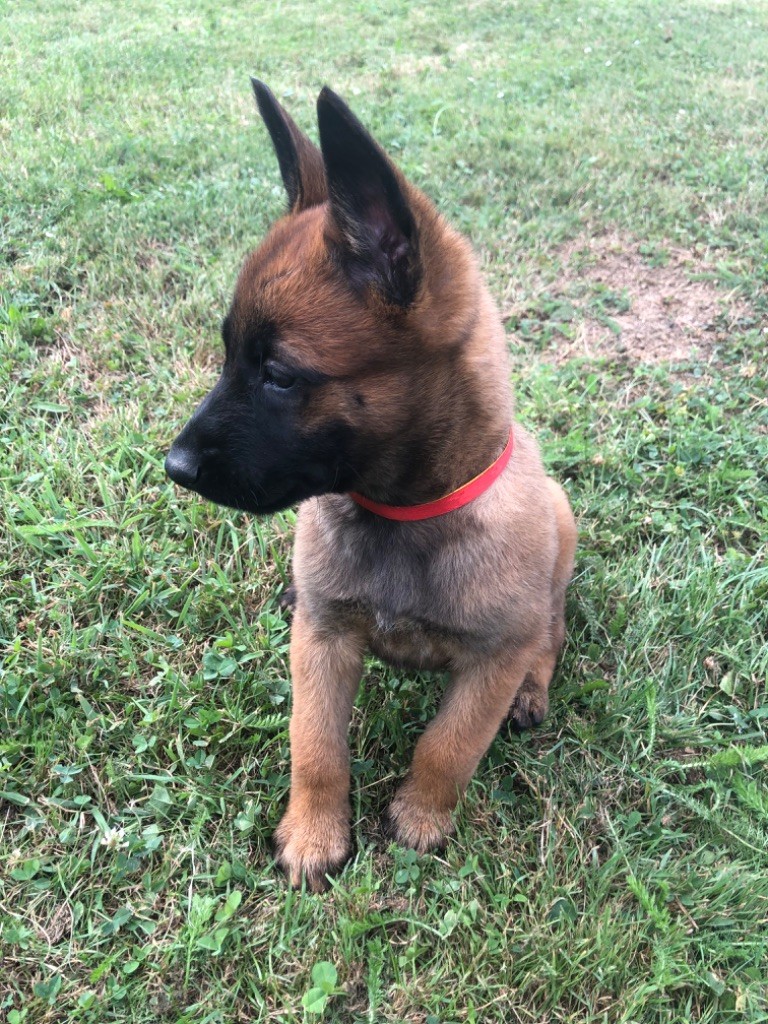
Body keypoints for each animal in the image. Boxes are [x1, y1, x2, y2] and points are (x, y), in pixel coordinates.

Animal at [167, 83, 577, 892]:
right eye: (227, 355)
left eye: (279, 375)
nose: (175, 466)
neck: (403, 514)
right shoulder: (322, 643)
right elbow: (316, 746)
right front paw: (314, 833)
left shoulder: (491, 660)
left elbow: (447, 746)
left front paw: (420, 817)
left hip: (563, 519)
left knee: (552, 627)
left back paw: (534, 689)